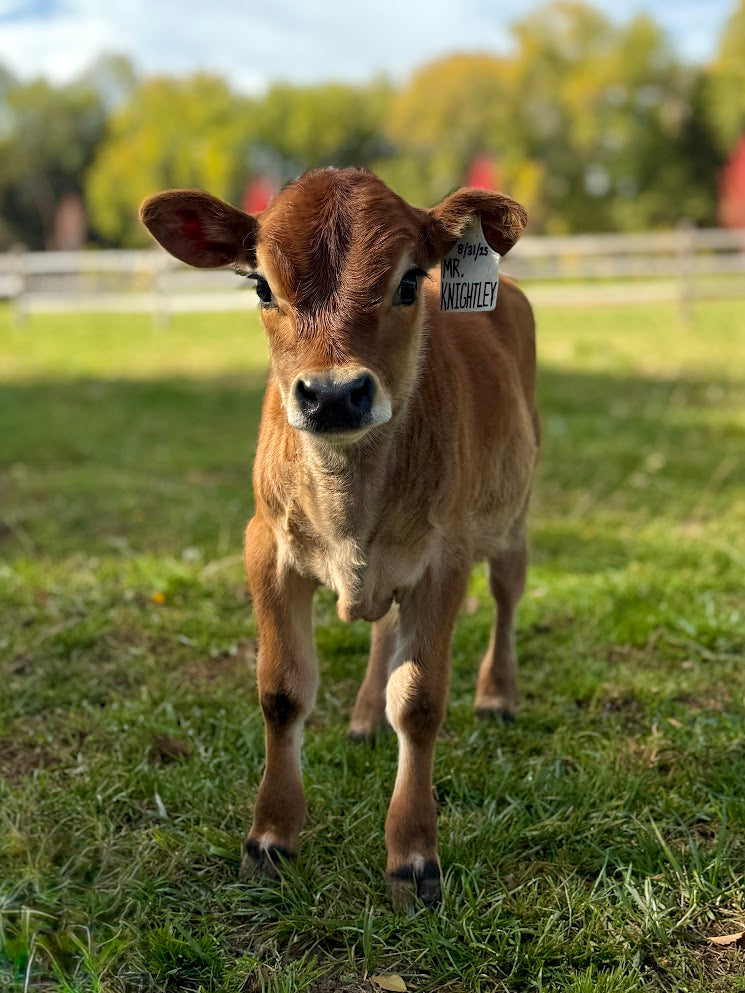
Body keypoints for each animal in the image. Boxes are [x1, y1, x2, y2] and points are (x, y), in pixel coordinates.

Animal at [140, 167, 539, 911]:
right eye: (261, 286)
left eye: (409, 282)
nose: (332, 395)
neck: (351, 509)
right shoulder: (265, 546)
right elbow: (282, 690)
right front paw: (269, 839)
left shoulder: (444, 559)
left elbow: (419, 701)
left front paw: (413, 857)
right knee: (383, 631)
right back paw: (362, 718)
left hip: (515, 511)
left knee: (506, 594)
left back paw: (497, 694)